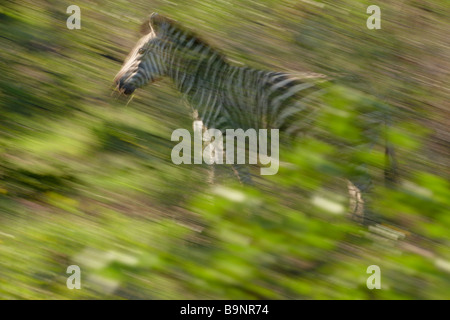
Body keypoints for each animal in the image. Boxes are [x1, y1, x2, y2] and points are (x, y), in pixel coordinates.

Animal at [114, 13, 396, 222]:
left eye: (141, 52)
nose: (117, 84)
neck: (209, 84)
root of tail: (377, 96)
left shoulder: (227, 135)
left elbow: (239, 177)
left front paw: (245, 215)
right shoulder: (212, 139)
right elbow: (217, 176)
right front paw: (211, 212)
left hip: (352, 146)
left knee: (364, 187)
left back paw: (360, 235)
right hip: (347, 149)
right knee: (357, 187)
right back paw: (351, 228)